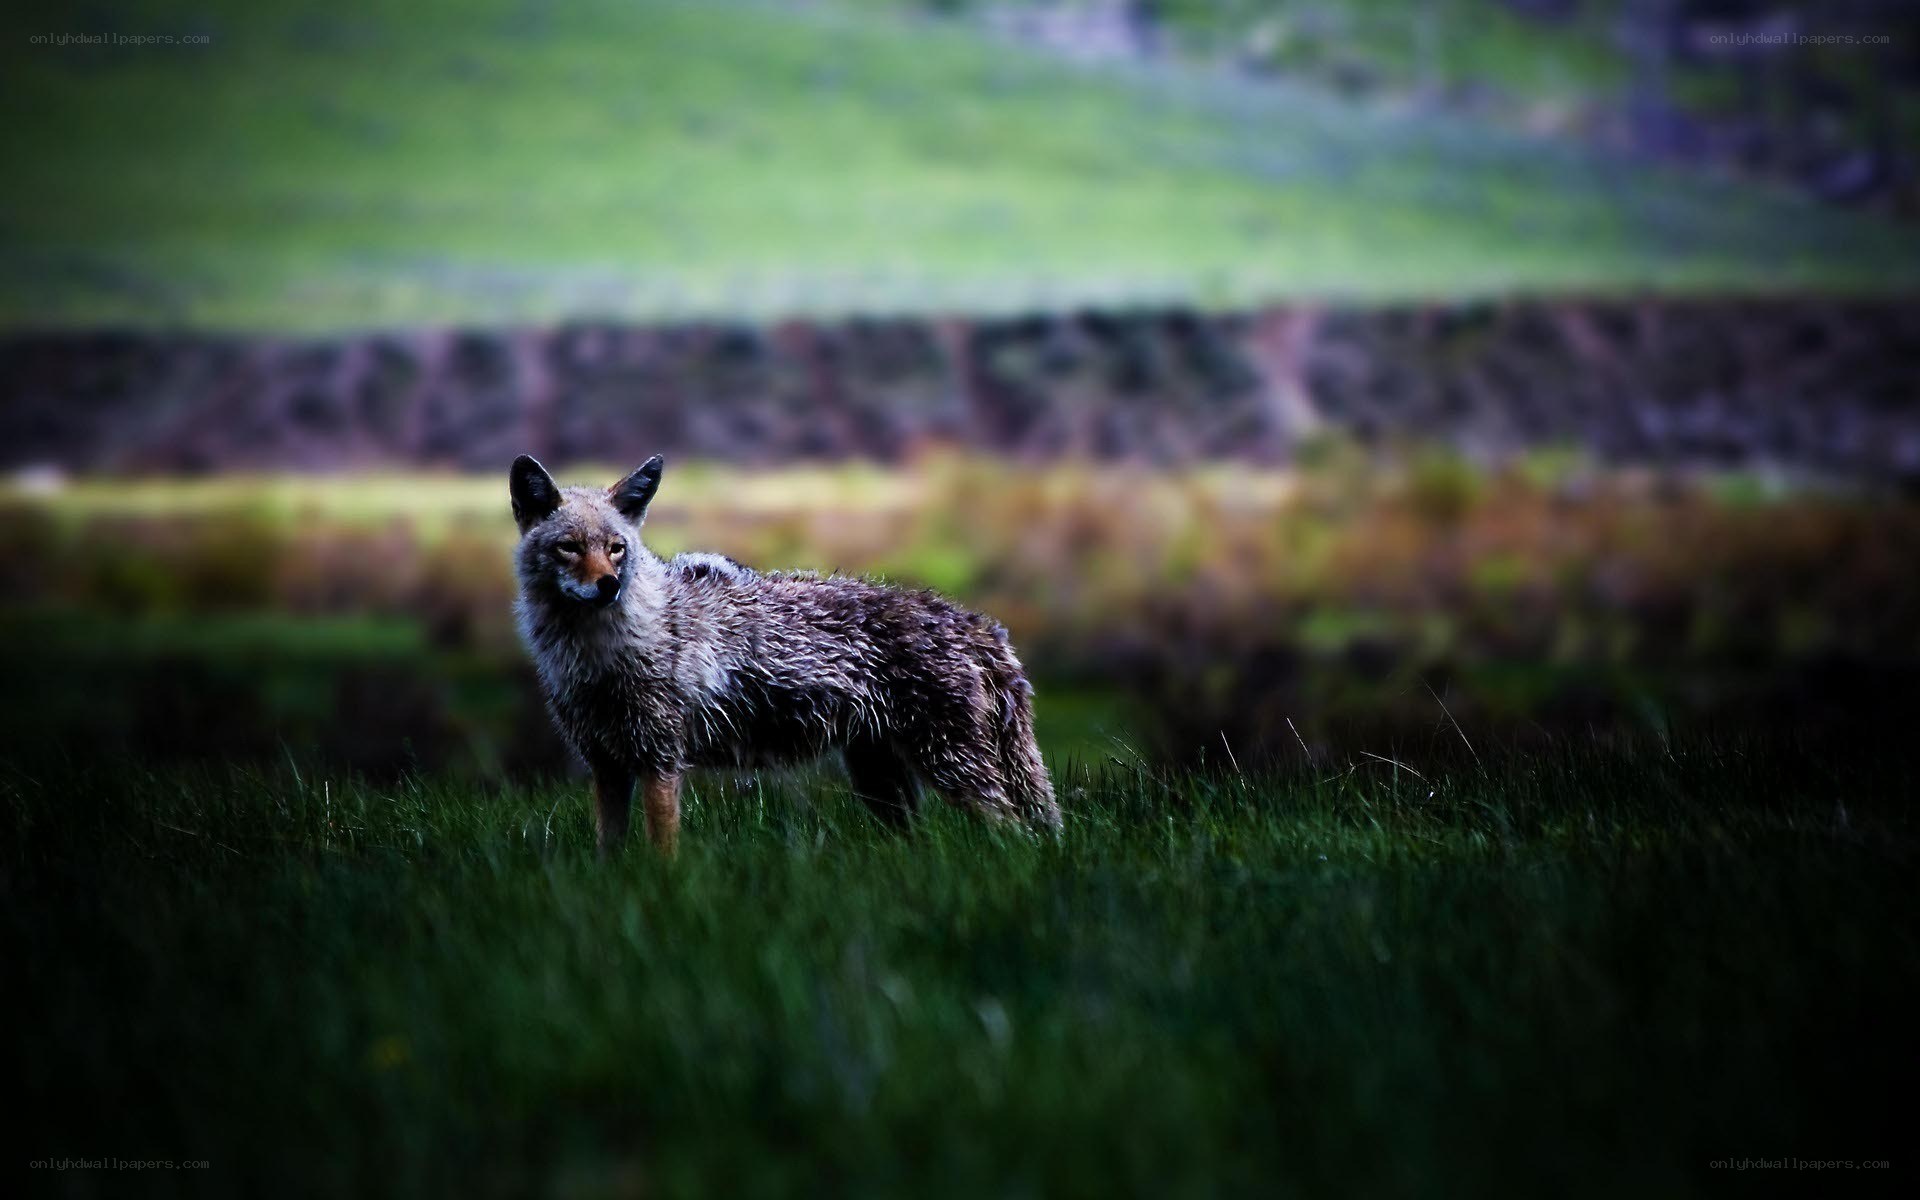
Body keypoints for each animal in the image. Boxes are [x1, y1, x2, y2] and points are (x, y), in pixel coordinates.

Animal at [509, 454, 1061, 854]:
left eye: (616, 548)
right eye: (568, 548)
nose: (608, 586)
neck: (595, 655)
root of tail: (972, 621)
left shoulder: (660, 760)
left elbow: (663, 852)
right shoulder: (607, 765)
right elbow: (610, 854)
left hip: (949, 770)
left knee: (1015, 831)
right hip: (884, 785)